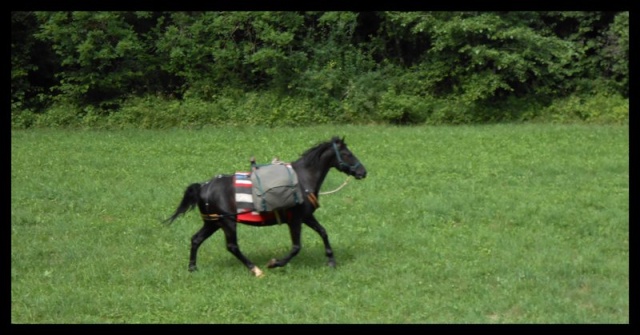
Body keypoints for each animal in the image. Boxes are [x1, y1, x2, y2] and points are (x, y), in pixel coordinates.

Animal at [165, 135, 364, 276]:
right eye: (347, 154)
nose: (363, 171)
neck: (302, 180)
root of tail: (203, 186)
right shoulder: (296, 219)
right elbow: (296, 247)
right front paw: (275, 263)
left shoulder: (307, 216)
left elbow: (323, 232)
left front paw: (331, 260)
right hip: (227, 223)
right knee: (232, 246)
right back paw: (255, 269)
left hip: (213, 222)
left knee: (196, 239)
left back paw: (192, 268)